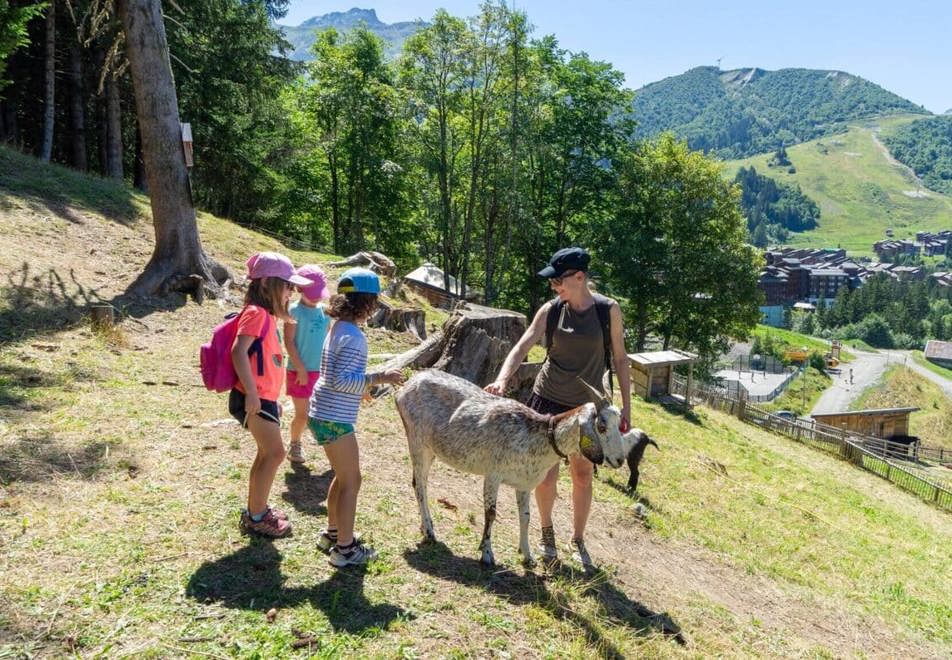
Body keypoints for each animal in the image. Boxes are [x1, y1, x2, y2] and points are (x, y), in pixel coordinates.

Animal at [394, 368, 648, 564]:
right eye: (602, 426)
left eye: (620, 424)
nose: (619, 460)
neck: (537, 436)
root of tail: (405, 386)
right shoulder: (493, 475)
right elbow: (491, 513)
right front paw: (487, 554)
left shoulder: (525, 484)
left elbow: (525, 516)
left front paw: (527, 556)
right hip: (417, 441)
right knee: (419, 485)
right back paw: (430, 532)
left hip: (430, 449)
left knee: (420, 482)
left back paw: (425, 527)